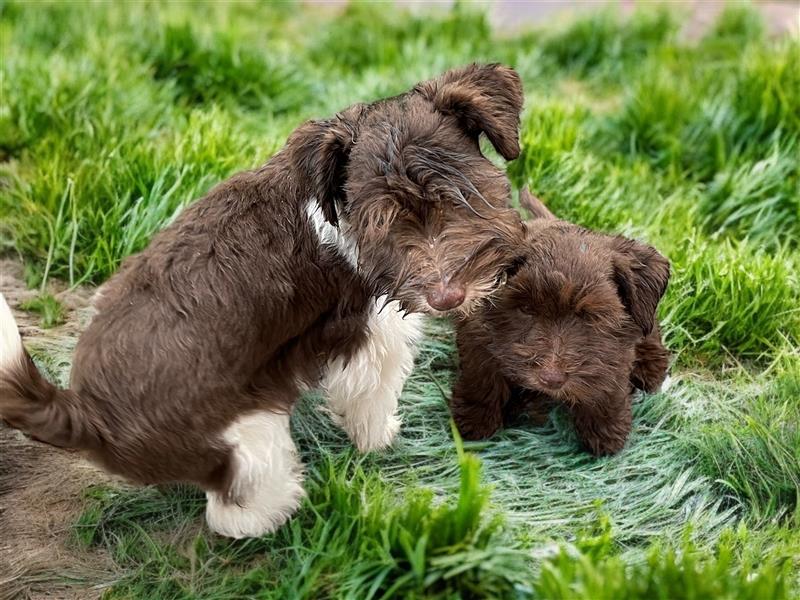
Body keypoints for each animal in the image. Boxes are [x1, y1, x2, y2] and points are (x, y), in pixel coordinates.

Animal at [0, 63, 528, 536]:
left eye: (460, 195)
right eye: (382, 221)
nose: (446, 297)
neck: (334, 202)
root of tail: (83, 413)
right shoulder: (369, 331)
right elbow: (372, 396)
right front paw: (380, 440)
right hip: (248, 432)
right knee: (233, 510)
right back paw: (284, 510)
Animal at [450, 190, 668, 458]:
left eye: (590, 316)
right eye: (526, 309)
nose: (550, 379)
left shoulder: (614, 351)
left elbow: (609, 384)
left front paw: (606, 431)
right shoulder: (477, 332)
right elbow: (481, 377)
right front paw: (476, 420)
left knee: (651, 329)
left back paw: (651, 368)